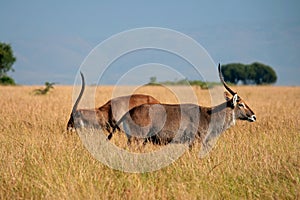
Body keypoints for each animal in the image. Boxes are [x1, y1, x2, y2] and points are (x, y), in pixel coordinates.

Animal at [116, 64, 256, 158]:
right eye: (241, 104)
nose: (253, 116)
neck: (209, 114)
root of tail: (129, 112)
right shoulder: (196, 141)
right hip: (138, 139)